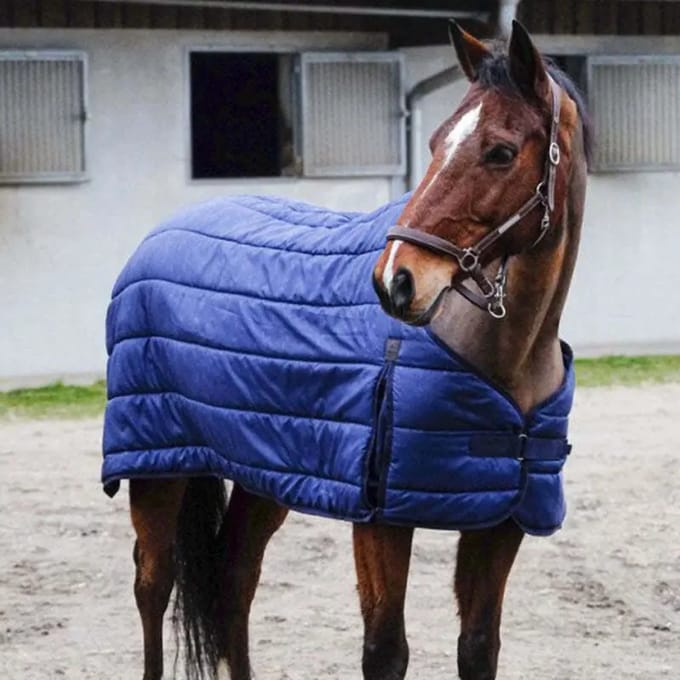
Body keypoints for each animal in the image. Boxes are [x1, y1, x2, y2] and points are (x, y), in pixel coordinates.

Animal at [112, 20, 591, 680]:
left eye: (500, 150)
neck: (503, 357)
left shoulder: (501, 520)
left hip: (267, 471)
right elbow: (385, 650)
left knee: (235, 577)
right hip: (157, 466)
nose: (397, 280)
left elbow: (478, 647)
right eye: (437, 142)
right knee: (153, 583)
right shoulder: (381, 517)